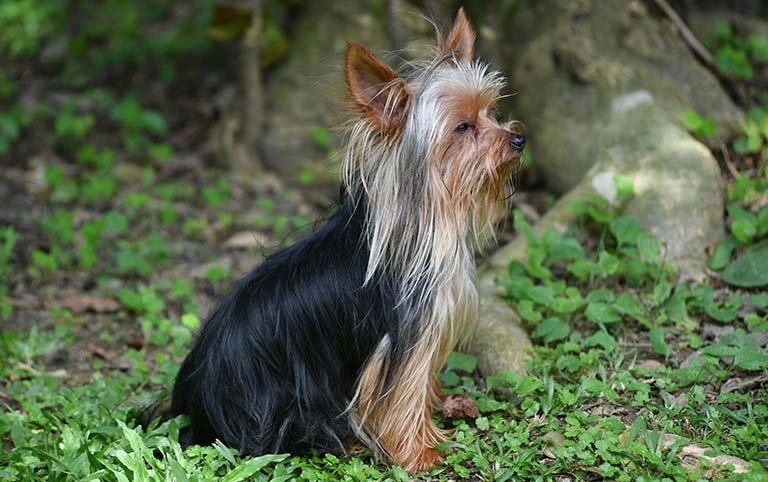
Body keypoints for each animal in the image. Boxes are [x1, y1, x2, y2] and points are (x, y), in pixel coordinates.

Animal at [165, 7, 524, 472]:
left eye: (491, 111)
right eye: (463, 127)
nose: (518, 138)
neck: (422, 220)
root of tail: (194, 402)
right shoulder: (399, 345)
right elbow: (402, 401)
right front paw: (420, 454)